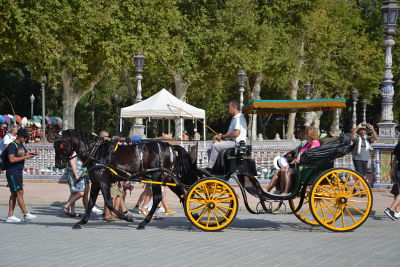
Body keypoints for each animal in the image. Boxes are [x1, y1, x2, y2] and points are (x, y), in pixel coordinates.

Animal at [54, 130, 198, 230]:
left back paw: (144, 222)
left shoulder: (103, 182)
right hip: (169, 179)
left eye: (60, 145)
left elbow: (109, 202)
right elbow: (90, 203)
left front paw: (127, 217)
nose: (58, 164)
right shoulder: (96, 182)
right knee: (184, 194)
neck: (97, 152)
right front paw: (81, 222)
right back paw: (195, 217)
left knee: (158, 198)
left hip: (157, 176)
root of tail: (171, 147)